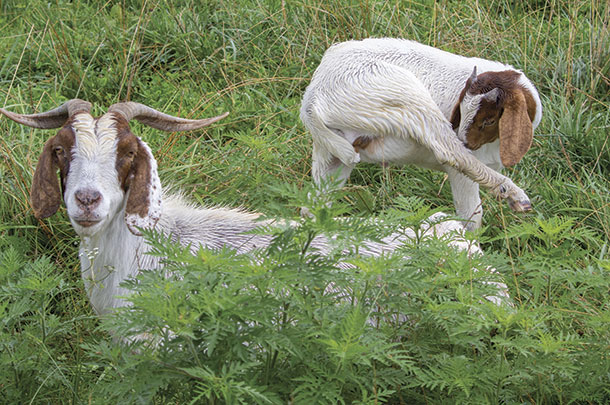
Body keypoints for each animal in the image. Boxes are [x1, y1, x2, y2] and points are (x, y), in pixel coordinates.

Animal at [300, 38, 540, 229]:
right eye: (462, 111)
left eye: (489, 120)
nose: (465, 142)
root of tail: (312, 96)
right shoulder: (460, 176)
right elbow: (471, 215)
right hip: (401, 94)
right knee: (449, 150)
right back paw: (514, 194)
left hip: (333, 150)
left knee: (314, 203)